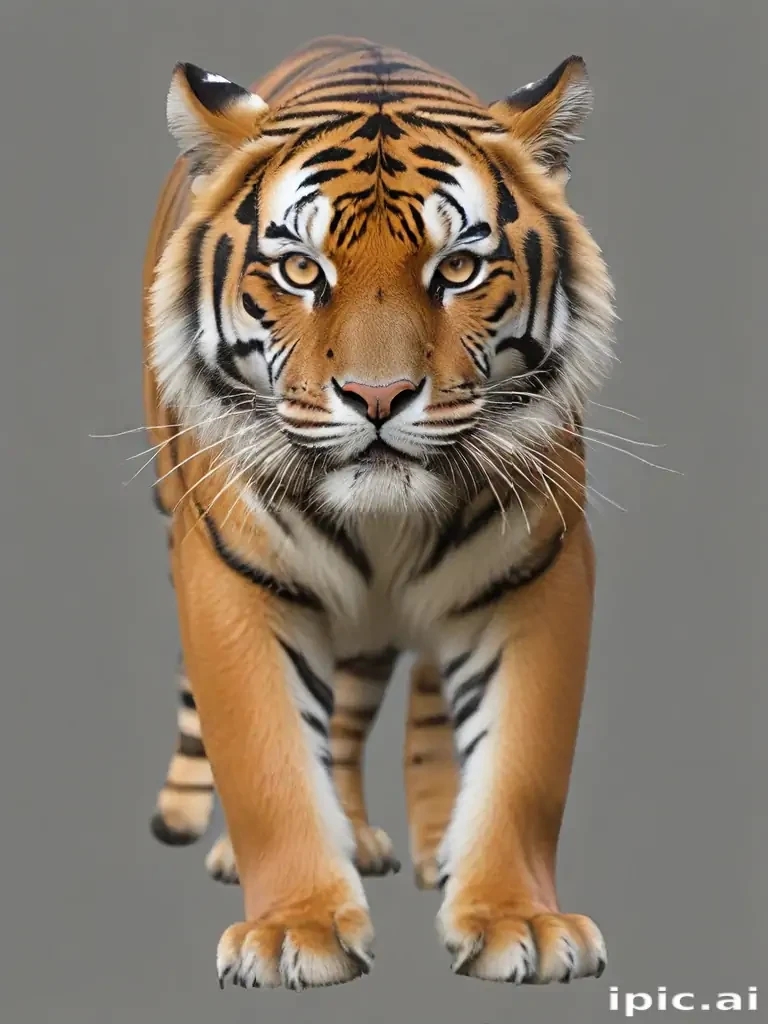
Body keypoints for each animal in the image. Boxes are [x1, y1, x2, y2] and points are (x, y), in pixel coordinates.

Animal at [142, 35, 615, 990]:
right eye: (300, 270)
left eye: (458, 268)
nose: (378, 396)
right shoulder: (229, 577)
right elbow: (267, 759)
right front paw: (294, 929)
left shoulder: (540, 571)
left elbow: (521, 764)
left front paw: (516, 919)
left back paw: (428, 849)